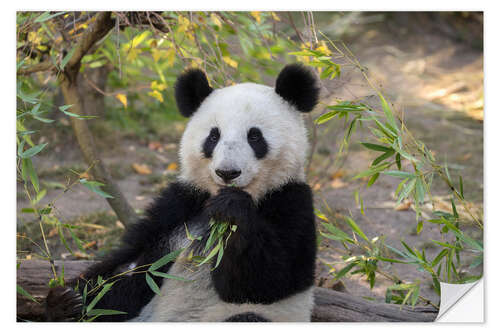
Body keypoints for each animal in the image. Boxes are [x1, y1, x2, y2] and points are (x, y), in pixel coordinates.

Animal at [47, 63, 320, 322]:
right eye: (213, 136)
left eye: (255, 137)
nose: (227, 173)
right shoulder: (182, 202)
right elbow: (130, 267)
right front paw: (64, 300)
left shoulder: (291, 199)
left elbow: (268, 279)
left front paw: (232, 209)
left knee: (247, 317)